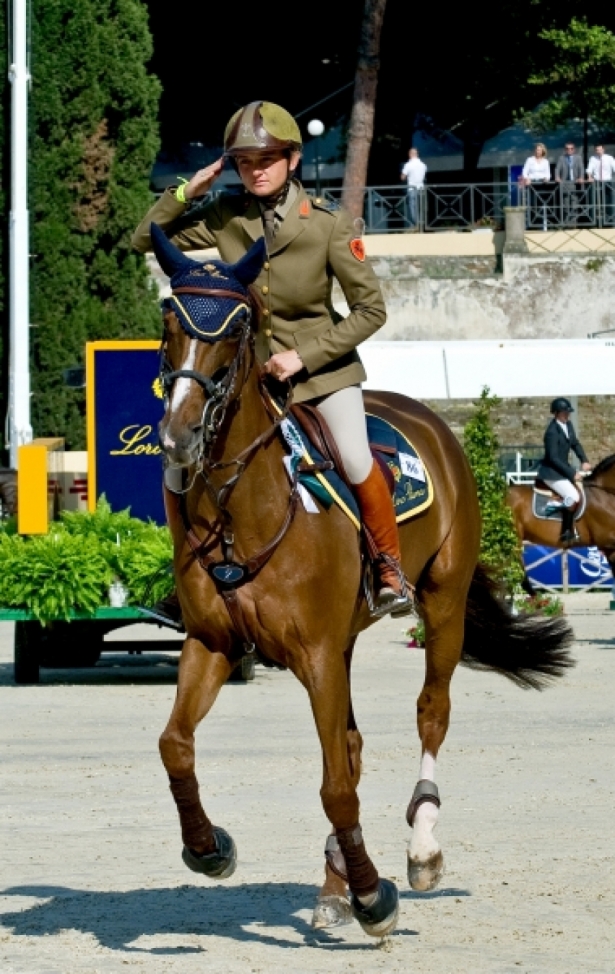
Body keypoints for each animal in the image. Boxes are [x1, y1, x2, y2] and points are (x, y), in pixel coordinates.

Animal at [152, 227, 576, 936]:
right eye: (169, 323)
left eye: (236, 331)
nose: (179, 436)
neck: (246, 509)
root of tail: (426, 417)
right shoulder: (214, 644)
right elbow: (176, 745)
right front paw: (208, 848)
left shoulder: (318, 653)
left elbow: (335, 783)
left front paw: (375, 896)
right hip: (348, 639)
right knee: (347, 746)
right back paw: (334, 887)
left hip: (441, 605)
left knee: (431, 713)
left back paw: (419, 852)